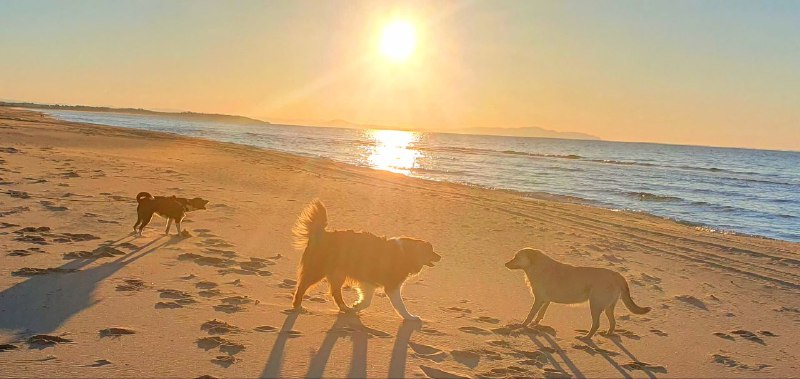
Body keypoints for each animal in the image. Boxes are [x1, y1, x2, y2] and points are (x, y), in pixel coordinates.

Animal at [290, 199, 440, 320]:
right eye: (431, 251)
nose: (440, 257)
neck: (407, 253)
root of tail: (321, 233)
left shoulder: (368, 282)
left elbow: (367, 300)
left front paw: (356, 306)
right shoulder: (389, 286)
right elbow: (399, 306)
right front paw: (410, 317)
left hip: (338, 274)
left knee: (335, 292)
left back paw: (345, 308)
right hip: (318, 270)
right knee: (303, 286)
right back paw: (297, 305)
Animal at [506, 249, 648, 338]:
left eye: (517, 257)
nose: (505, 263)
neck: (536, 266)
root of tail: (618, 275)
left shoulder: (539, 299)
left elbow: (530, 314)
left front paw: (522, 325)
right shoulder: (546, 300)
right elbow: (540, 313)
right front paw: (535, 324)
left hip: (595, 305)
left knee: (596, 324)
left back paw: (586, 337)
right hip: (608, 307)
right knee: (613, 323)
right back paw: (608, 334)